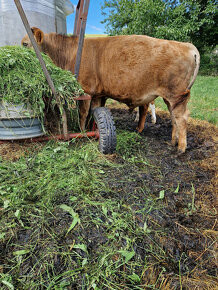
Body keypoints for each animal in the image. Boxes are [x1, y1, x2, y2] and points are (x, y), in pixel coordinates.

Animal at [21, 28, 199, 153]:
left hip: (176, 95)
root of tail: (186, 45)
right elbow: (93, 112)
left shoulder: (86, 91)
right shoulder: (98, 94)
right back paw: (173, 141)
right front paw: (93, 130)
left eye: (25, 44)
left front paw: (81, 131)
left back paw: (181, 148)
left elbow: (83, 113)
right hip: (170, 98)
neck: (70, 53)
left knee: (181, 118)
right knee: (173, 117)